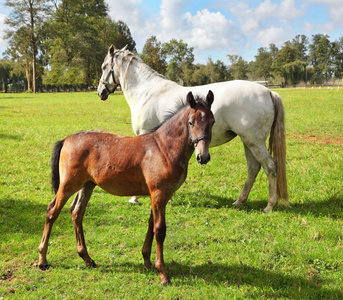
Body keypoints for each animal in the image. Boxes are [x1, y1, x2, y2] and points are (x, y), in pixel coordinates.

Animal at [98, 45, 288, 213]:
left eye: (104, 67)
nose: (100, 92)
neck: (148, 92)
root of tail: (268, 91)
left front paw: (135, 198)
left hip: (254, 142)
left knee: (270, 166)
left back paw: (269, 206)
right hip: (248, 141)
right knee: (253, 168)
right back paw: (239, 201)